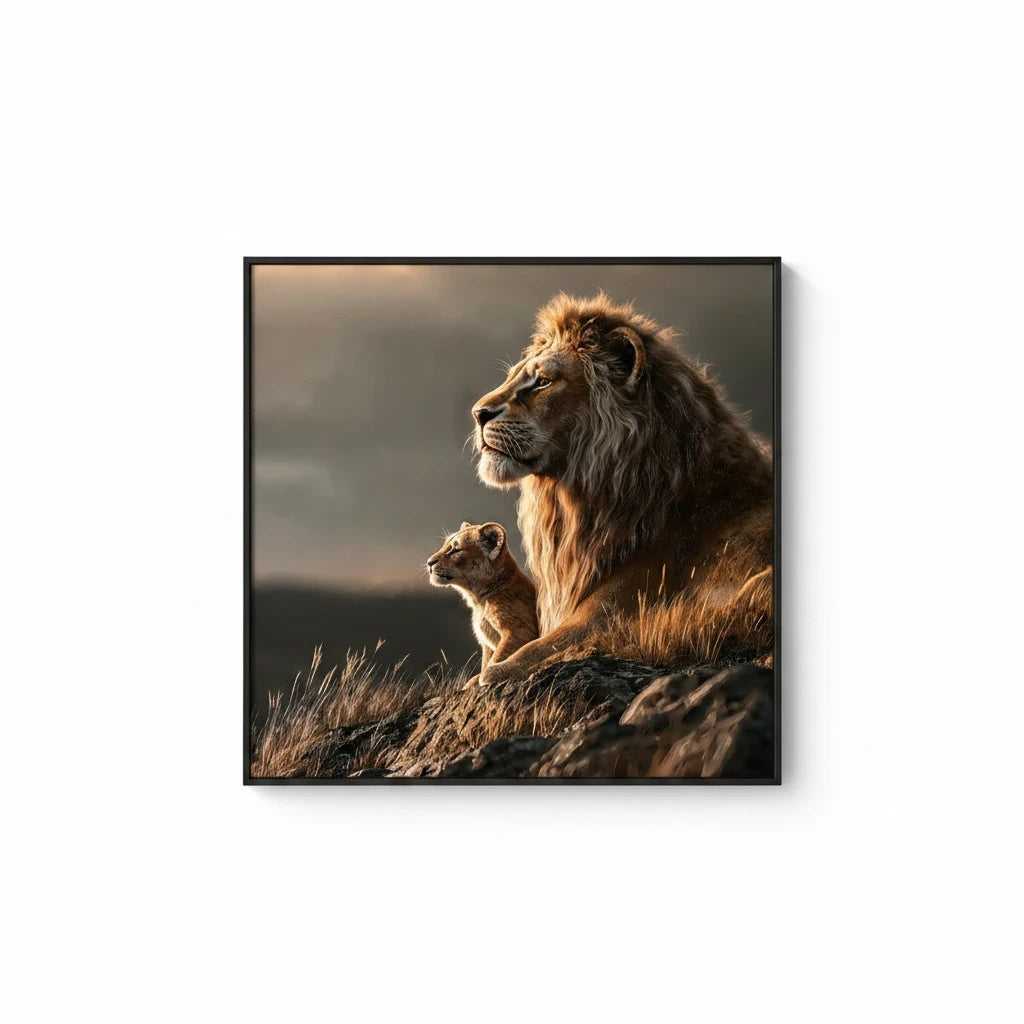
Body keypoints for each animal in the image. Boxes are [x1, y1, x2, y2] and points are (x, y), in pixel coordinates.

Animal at [426, 521, 539, 680]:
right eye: (445, 545)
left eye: (456, 550)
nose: (429, 562)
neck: (479, 600)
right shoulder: (487, 644)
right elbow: (484, 665)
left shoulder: (520, 633)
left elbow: (496, 662)